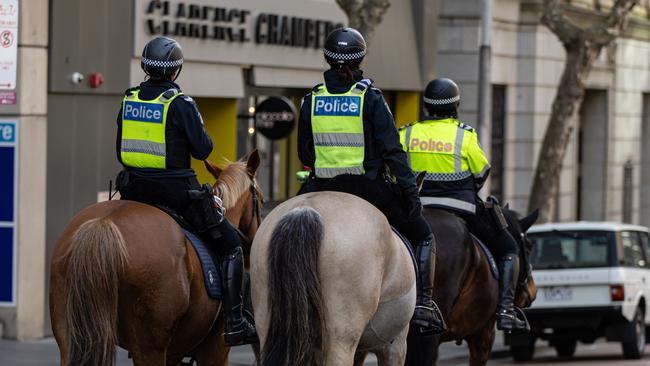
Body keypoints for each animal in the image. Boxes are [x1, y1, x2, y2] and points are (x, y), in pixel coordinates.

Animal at [48, 151, 264, 366]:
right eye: (261, 200)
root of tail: (102, 223)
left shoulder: (175, 353)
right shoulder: (215, 350)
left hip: (69, 338)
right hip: (150, 346)